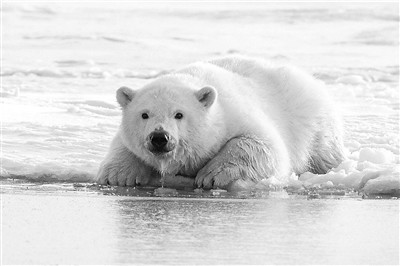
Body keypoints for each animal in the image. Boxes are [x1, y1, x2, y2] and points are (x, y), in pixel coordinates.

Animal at [96, 55, 344, 189]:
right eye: (144, 114)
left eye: (179, 114)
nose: (159, 137)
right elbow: (123, 145)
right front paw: (118, 176)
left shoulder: (235, 114)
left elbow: (263, 145)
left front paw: (210, 176)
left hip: (313, 121)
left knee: (324, 152)